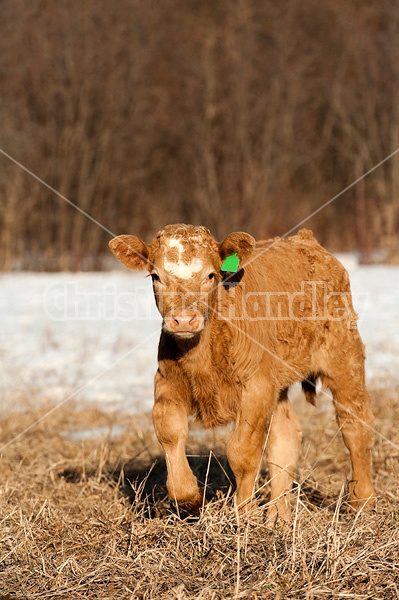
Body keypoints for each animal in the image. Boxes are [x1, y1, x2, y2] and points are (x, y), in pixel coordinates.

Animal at [110, 223, 378, 524]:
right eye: (156, 276)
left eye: (211, 275)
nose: (184, 319)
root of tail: (308, 241)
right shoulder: (168, 384)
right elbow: (170, 435)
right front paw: (193, 503)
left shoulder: (255, 387)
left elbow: (243, 451)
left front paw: (244, 515)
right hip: (277, 379)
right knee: (285, 435)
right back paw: (278, 518)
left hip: (344, 358)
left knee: (355, 425)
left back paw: (362, 502)